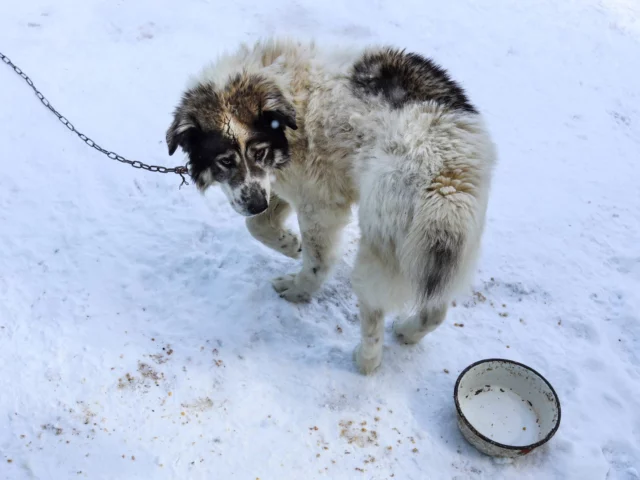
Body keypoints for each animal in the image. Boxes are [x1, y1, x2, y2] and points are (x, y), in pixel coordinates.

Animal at [165, 38, 496, 376]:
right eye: (225, 161)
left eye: (259, 152)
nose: (256, 204)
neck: (288, 103)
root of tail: (446, 174)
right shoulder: (280, 185)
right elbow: (258, 224)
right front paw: (289, 243)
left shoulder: (317, 202)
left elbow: (313, 260)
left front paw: (297, 277)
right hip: (444, 250)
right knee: (436, 310)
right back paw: (407, 332)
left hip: (382, 243)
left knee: (374, 309)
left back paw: (365, 359)